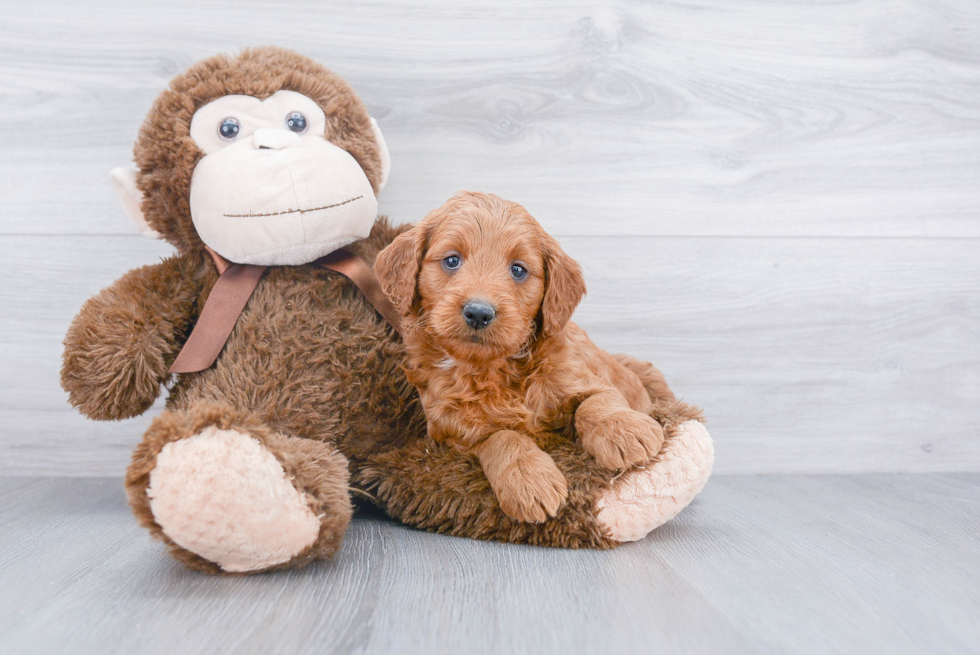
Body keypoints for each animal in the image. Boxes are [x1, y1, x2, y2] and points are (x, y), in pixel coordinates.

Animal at [376, 191, 672, 524]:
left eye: (518, 270)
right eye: (452, 260)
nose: (479, 312)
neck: (493, 368)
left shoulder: (585, 377)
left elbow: (596, 402)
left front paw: (624, 432)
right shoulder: (453, 432)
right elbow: (503, 437)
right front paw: (529, 482)